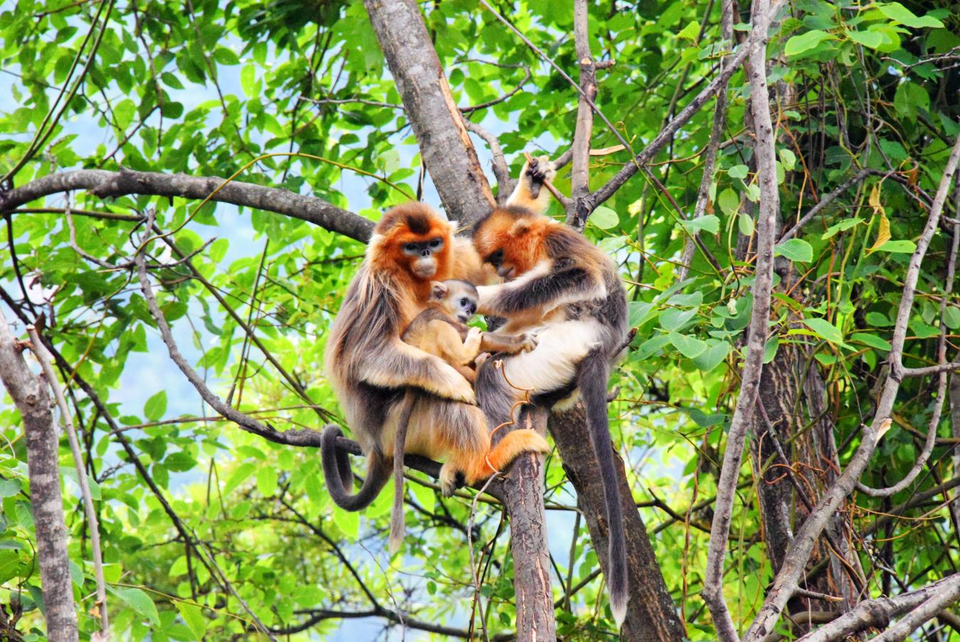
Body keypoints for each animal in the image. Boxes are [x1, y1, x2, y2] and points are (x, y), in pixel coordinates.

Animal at [322, 208, 548, 516]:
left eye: (434, 242)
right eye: (411, 246)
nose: (426, 252)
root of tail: (375, 448)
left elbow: (481, 267)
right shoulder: (379, 286)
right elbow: (368, 354)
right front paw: (455, 379)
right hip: (400, 426)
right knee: (452, 406)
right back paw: (486, 459)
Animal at [390, 278, 540, 548]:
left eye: (472, 308)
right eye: (463, 302)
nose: (468, 313)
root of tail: (410, 387)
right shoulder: (440, 315)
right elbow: (480, 335)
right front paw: (520, 339)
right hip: (435, 364)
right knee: (440, 332)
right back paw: (469, 354)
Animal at [470, 158, 632, 624]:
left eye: (499, 257)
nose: (501, 272)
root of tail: (602, 347)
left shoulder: (557, 244)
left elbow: (580, 277)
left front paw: (475, 293)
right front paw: (531, 182)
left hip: (560, 345)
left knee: (494, 375)